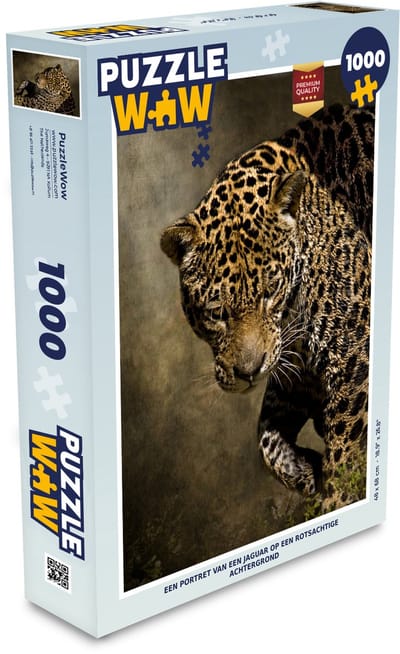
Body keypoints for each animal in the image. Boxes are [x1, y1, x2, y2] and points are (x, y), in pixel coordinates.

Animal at [161, 104, 372, 515]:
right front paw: (303, 468)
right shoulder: (293, 371)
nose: (247, 373)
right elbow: (265, 436)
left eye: (270, 291)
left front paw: (336, 499)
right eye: (217, 313)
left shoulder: (354, 356)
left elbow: (346, 450)